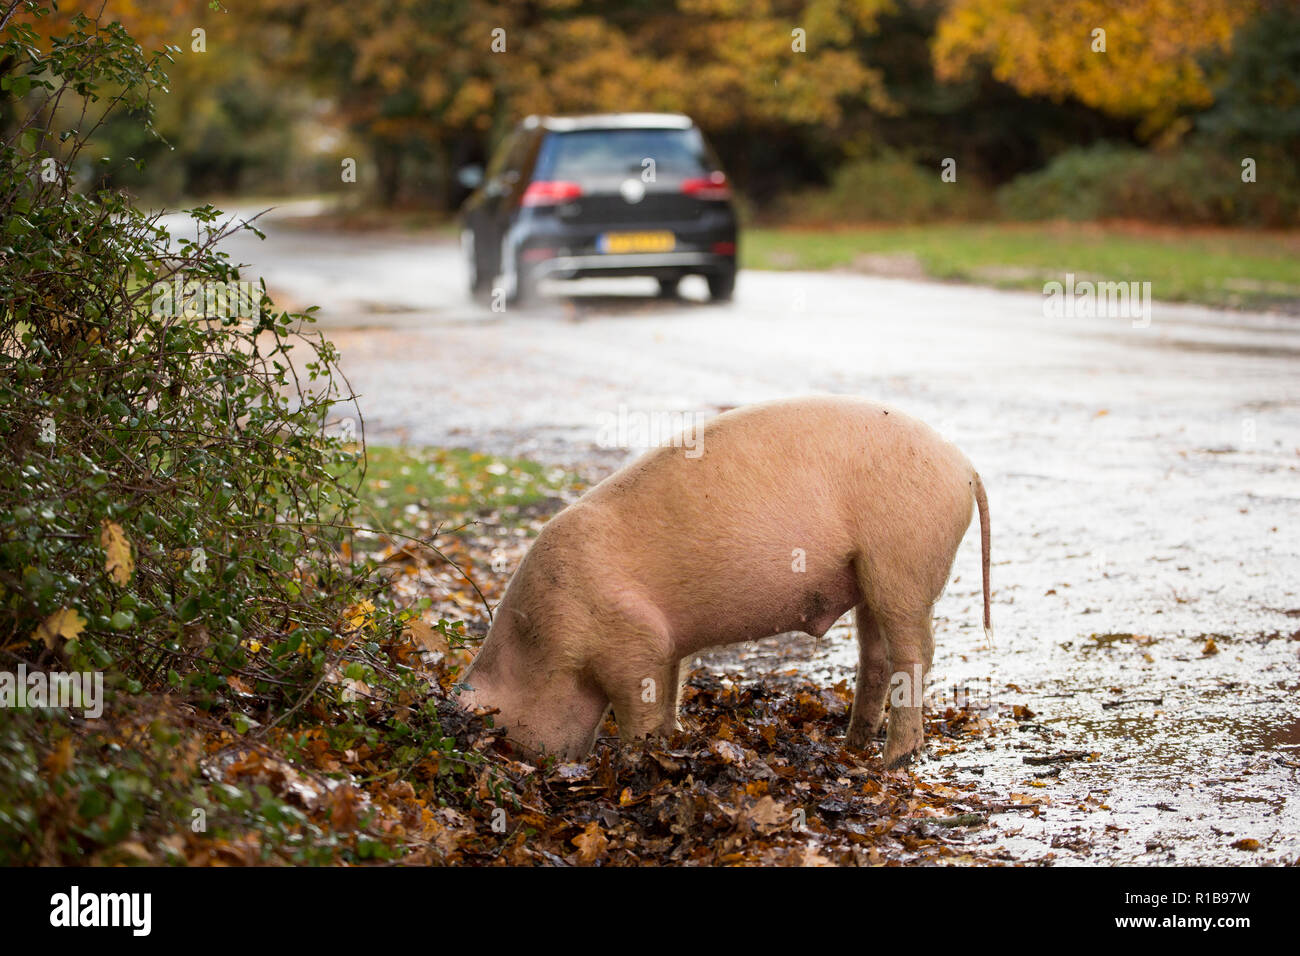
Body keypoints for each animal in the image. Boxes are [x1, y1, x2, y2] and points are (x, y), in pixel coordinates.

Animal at [457, 395, 993, 770]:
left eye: (502, 739)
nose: (538, 768)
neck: (542, 641)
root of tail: (965, 467)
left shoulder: (633, 643)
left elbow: (638, 711)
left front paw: (636, 761)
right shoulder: (666, 648)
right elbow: (667, 698)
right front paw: (671, 745)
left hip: (903, 562)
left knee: (915, 655)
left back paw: (893, 760)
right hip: (871, 575)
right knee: (876, 656)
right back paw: (852, 745)